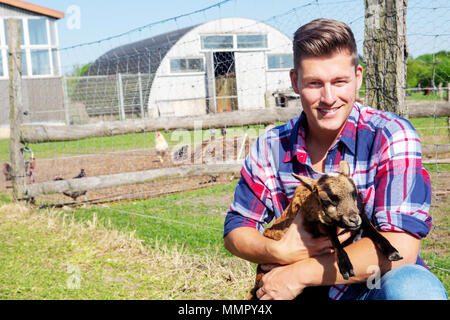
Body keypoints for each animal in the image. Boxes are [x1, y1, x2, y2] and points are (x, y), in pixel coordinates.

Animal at [248, 161, 402, 298]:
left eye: (354, 194)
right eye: (327, 201)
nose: (353, 220)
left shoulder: (359, 214)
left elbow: (371, 228)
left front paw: (392, 252)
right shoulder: (317, 224)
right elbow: (332, 235)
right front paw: (346, 267)